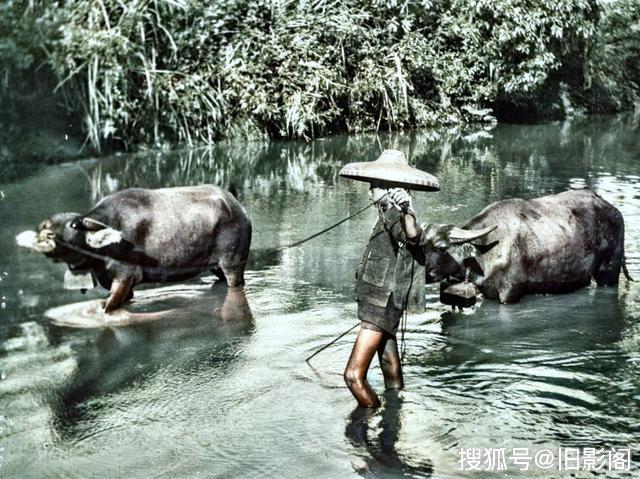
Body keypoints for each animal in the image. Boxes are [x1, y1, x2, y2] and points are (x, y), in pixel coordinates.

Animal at [28, 186, 252, 314]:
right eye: (45, 224)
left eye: (74, 225)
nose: (45, 232)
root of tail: (237, 206)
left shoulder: (126, 276)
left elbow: (109, 305)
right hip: (216, 267)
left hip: (233, 262)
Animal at [420, 188, 632, 304]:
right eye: (423, 246)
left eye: (441, 247)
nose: (424, 274)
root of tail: (613, 209)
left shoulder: (510, 292)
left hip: (609, 270)